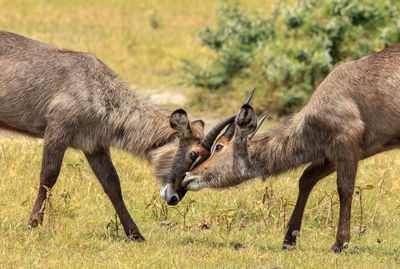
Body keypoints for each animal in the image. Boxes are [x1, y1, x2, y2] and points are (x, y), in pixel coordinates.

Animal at [0, 30, 250, 240]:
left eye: (209, 156)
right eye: (193, 154)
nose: (174, 198)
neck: (99, 91)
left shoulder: (94, 146)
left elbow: (112, 184)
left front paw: (135, 234)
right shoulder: (56, 132)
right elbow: (48, 177)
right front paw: (33, 224)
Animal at [182, 43, 400, 251]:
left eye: (218, 147)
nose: (188, 176)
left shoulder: (346, 143)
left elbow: (344, 188)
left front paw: (340, 244)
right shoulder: (337, 153)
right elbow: (306, 179)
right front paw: (289, 240)